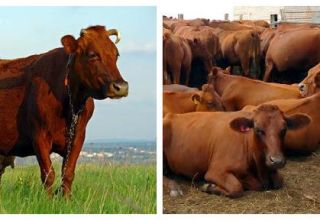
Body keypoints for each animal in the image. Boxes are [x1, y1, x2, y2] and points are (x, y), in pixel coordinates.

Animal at [0, 25, 127, 198]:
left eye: (116, 54)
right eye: (93, 54)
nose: (121, 86)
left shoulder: (78, 137)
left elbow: (68, 172)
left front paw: (66, 198)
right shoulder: (39, 136)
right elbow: (48, 174)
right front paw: (47, 200)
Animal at [162, 105, 310, 198]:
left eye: (284, 130)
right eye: (258, 129)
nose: (277, 160)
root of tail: (170, 115)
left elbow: (279, 180)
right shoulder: (216, 171)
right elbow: (236, 187)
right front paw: (209, 187)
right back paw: (175, 188)